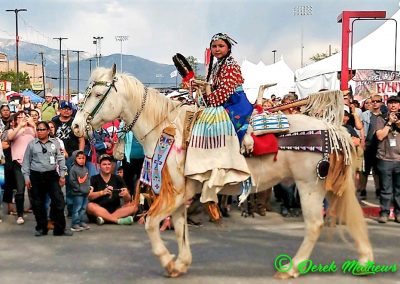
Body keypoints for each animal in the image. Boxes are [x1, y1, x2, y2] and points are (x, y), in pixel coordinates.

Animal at [72, 65, 376, 280]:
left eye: (97, 95)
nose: (75, 126)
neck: (166, 127)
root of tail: (332, 129)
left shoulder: (174, 193)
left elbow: (150, 223)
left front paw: (168, 260)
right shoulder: (181, 192)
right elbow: (180, 227)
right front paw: (180, 263)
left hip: (309, 185)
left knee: (315, 225)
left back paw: (292, 268)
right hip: (328, 185)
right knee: (349, 214)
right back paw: (364, 261)